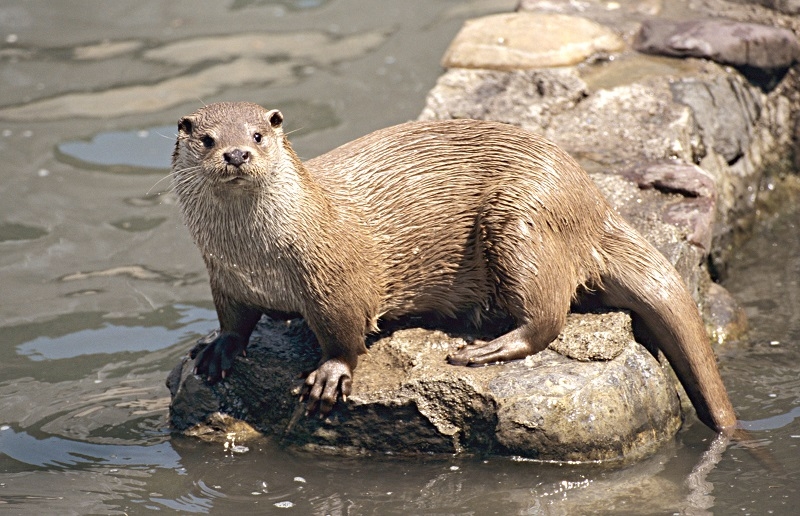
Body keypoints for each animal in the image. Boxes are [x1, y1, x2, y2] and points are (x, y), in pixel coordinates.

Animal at [173, 100, 736, 432]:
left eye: (258, 135)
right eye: (207, 139)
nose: (236, 154)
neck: (259, 256)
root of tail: (595, 203)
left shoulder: (335, 280)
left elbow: (344, 333)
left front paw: (330, 375)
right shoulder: (224, 276)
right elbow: (234, 319)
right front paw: (219, 348)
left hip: (524, 219)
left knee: (548, 314)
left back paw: (487, 349)